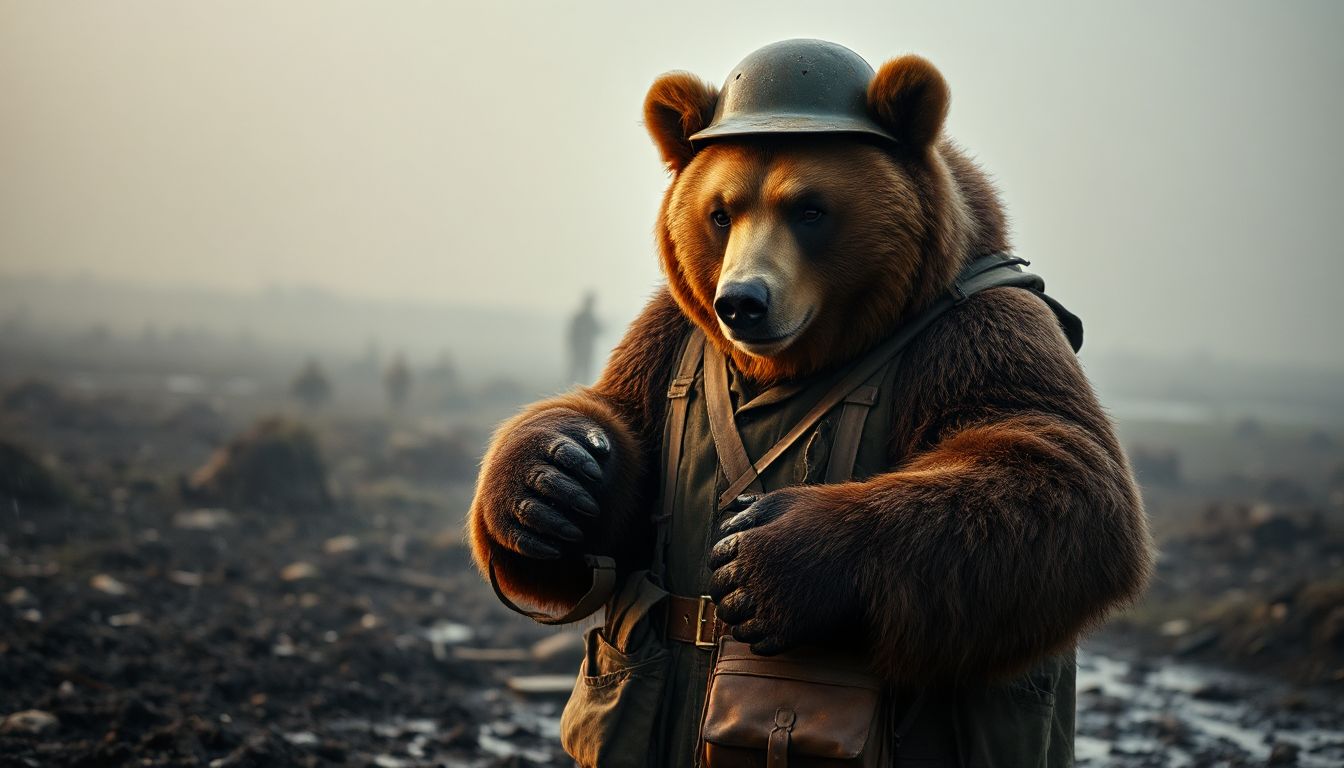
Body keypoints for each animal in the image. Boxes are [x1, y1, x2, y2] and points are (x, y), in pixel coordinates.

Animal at [468, 40, 1152, 768]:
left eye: (810, 209)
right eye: (720, 212)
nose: (742, 301)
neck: (791, 362)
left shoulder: (983, 337)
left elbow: (1060, 473)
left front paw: (769, 553)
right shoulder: (667, 335)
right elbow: (625, 437)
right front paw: (549, 482)